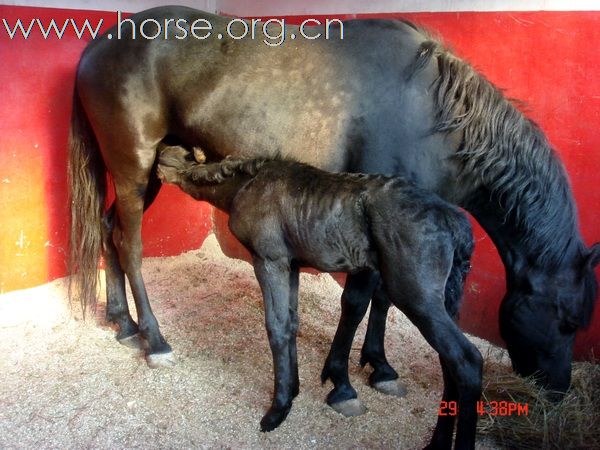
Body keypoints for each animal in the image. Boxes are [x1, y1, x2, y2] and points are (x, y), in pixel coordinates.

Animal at [69, 6, 600, 394]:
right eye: (568, 320)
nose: (557, 391)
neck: (431, 115)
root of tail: (99, 44)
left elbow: (381, 298)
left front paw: (379, 365)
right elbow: (358, 299)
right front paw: (341, 377)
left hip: (149, 174)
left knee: (109, 231)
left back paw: (122, 322)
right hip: (135, 167)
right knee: (130, 245)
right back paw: (154, 339)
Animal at [157, 148, 480, 450]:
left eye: (172, 158)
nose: (158, 158)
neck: (247, 185)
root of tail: (456, 222)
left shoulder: (269, 260)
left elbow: (276, 328)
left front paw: (278, 410)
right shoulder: (292, 265)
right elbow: (291, 323)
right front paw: (293, 391)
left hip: (417, 296)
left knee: (467, 359)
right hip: (445, 299)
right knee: (449, 364)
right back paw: (436, 442)